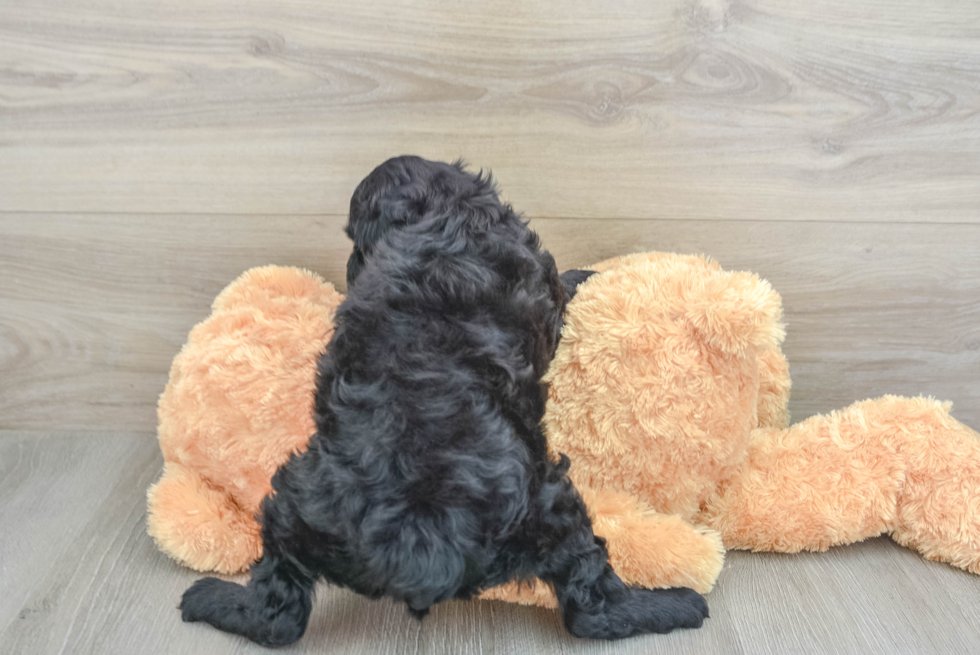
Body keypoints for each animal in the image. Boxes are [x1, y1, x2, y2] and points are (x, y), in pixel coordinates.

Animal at [182, 158, 704, 644]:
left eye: (355, 241)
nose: (351, 269)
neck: (438, 213)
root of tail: (421, 542)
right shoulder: (542, 278)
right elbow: (563, 288)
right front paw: (584, 274)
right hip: (551, 504)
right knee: (591, 606)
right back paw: (675, 604)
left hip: (300, 511)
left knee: (280, 613)